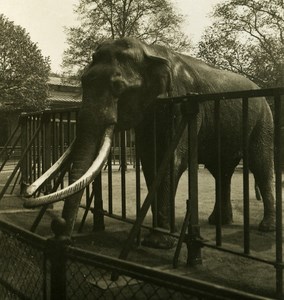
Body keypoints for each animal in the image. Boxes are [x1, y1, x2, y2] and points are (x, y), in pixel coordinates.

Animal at [24, 37, 276, 248]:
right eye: (83, 82)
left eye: (117, 87)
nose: (62, 234)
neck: (148, 51)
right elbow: (149, 160)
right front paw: (157, 236)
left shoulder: (180, 103)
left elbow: (171, 160)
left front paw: (158, 243)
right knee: (220, 171)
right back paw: (218, 222)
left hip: (263, 120)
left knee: (260, 165)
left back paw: (266, 227)